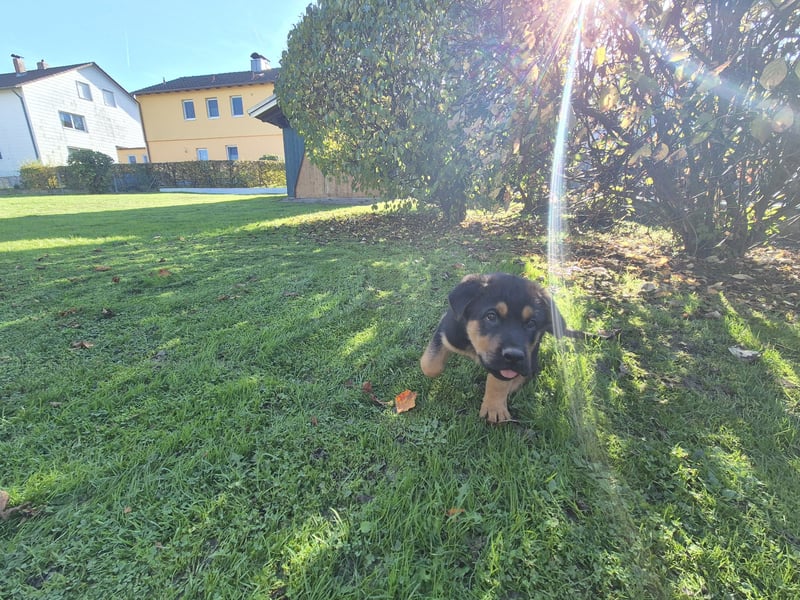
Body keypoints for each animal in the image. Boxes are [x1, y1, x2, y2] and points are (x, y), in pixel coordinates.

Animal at [422, 272, 584, 422]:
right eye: (491, 316)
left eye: (531, 323)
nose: (514, 356)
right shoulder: (446, 332)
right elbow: (430, 366)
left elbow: (499, 381)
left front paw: (494, 407)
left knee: (529, 371)